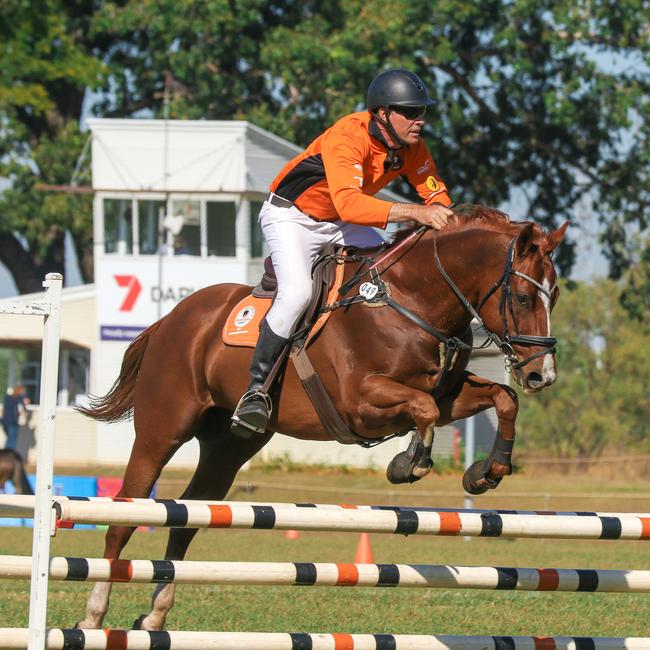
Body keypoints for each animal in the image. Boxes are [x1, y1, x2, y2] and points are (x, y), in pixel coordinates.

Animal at [76, 204, 568, 628]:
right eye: (522, 297)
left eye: (556, 295)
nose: (541, 375)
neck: (411, 299)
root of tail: (171, 320)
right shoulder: (361, 402)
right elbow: (422, 410)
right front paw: (408, 464)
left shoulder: (447, 394)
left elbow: (502, 398)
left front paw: (487, 472)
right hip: (161, 432)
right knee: (123, 518)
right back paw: (94, 615)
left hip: (228, 449)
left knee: (187, 519)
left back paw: (155, 617)